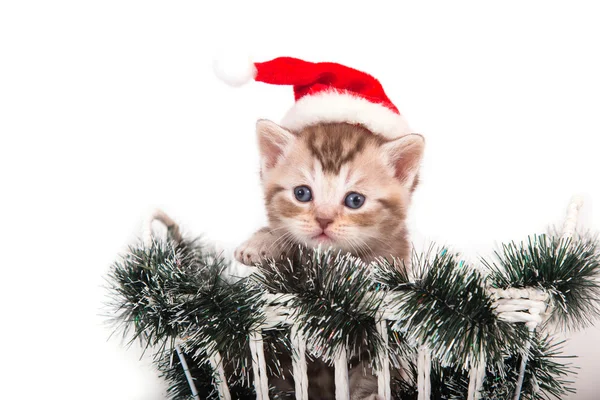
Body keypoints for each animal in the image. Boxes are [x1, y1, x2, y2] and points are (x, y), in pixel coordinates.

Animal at [232, 119, 424, 400]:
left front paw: (369, 394)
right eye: (302, 193)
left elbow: (371, 370)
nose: (323, 219)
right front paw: (261, 243)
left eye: (355, 200)